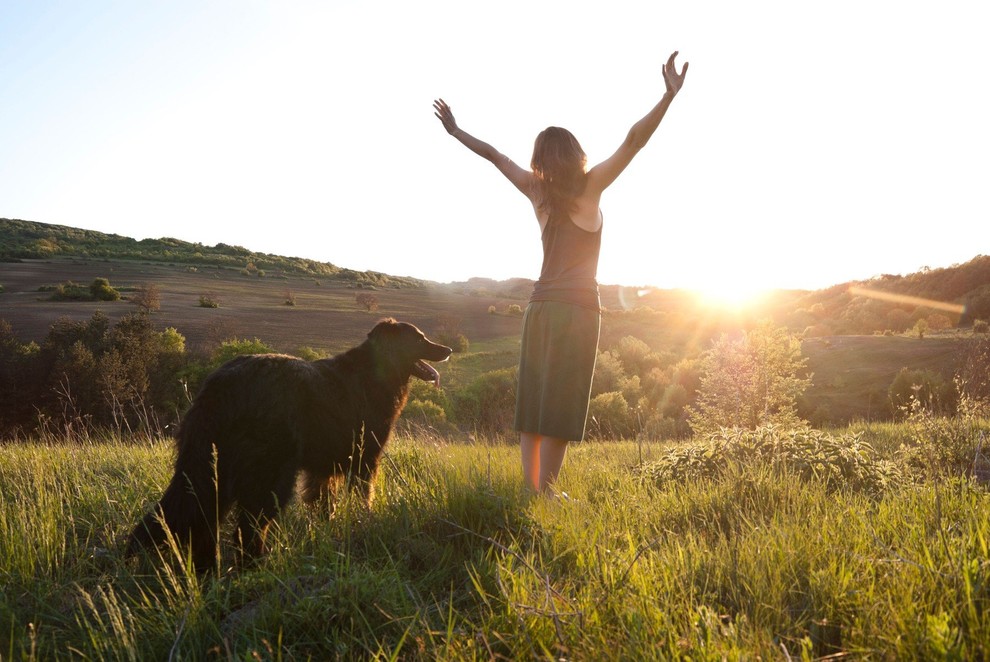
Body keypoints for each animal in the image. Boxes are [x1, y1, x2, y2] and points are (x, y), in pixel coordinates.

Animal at [126, 320, 452, 572]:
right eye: (420, 338)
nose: (448, 350)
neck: (377, 371)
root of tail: (220, 385)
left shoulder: (323, 469)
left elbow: (324, 506)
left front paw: (326, 533)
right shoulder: (365, 459)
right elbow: (362, 499)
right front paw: (364, 524)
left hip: (210, 470)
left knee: (195, 519)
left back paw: (202, 568)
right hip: (269, 474)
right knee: (247, 528)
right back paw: (257, 566)